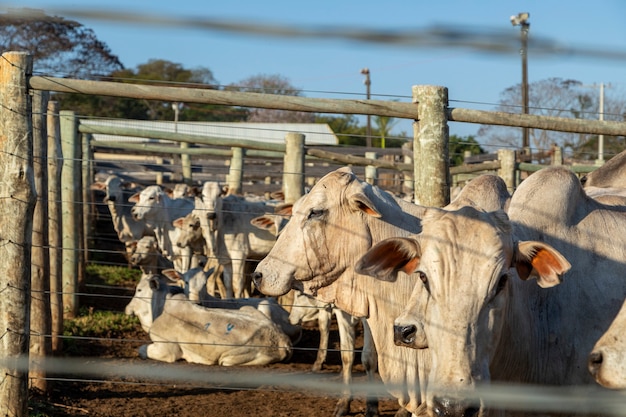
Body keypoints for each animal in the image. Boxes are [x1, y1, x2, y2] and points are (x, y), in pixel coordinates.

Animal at [125, 272, 294, 364]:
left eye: (139, 289)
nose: (127, 309)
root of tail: (282, 340)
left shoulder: (166, 350)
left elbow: (142, 349)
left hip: (228, 359)